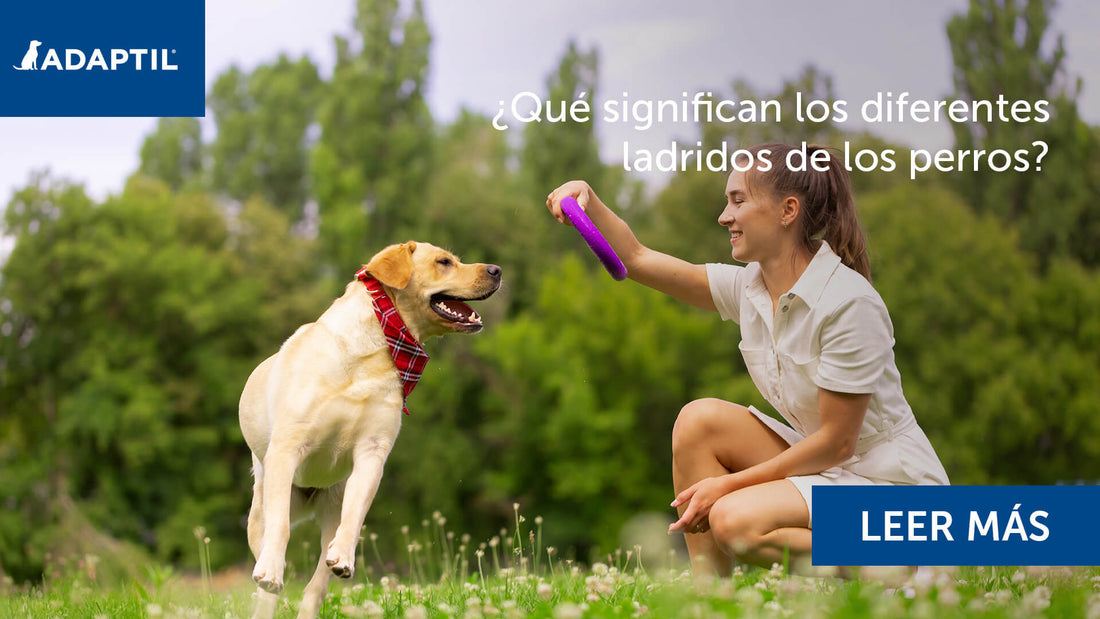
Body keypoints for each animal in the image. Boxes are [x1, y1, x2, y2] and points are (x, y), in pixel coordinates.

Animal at [240, 241, 503, 619]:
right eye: (444, 261)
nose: (497, 270)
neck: (378, 346)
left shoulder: (372, 453)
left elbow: (355, 513)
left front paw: (344, 557)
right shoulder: (287, 449)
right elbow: (281, 527)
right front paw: (272, 571)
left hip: (330, 505)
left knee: (316, 583)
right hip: (260, 508)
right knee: (268, 560)